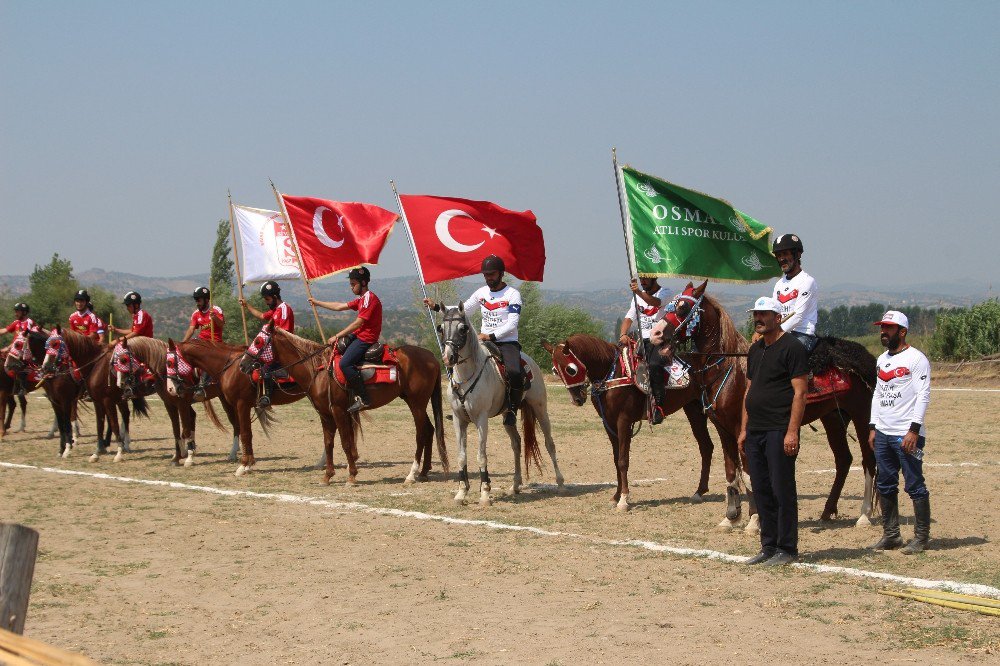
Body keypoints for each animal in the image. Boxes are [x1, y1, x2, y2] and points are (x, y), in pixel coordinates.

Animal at [236, 320, 448, 486]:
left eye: (258, 341)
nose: (243, 365)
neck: (317, 369)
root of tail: (431, 357)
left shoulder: (339, 411)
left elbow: (346, 442)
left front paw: (352, 476)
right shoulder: (325, 414)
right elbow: (329, 443)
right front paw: (327, 476)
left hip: (416, 403)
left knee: (421, 433)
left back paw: (411, 474)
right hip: (418, 403)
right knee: (430, 430)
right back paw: (424, 472)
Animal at [438, 304, 564, 506]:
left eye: (463, 329)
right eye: (441, 328)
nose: (448, 357)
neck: (466, 376)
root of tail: (529, 361)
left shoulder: (481, 420)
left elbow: (481, 456)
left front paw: (485, 494)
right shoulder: (459, 420)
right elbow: (461, 456)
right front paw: (461, 493)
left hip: (540, 408)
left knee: (549, 443)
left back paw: (560, 483)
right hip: (508, 415)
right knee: (517, 444)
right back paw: (516, 485)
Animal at [544, 332, 740, 512]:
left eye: (571, 369)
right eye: (555, 370)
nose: (577, 399)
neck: (612, 372)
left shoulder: (623, 421)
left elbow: (623, 460)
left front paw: (623, 499)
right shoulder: (608, 423)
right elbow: (616, 459)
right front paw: (616, 496)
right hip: (693, 410)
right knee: (706, 447)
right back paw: (699, 492)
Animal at [648, 280, 876, 528]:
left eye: (682, 308)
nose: (656, 333)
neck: (730, 370)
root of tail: (867, 358)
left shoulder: (743, 429)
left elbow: (749, 472)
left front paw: (754, 519)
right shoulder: (723, 428)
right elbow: (731, 470)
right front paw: (731, 517)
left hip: (863, 416)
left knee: (868, 461)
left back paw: (864, 515)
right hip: (833, 417)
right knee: (844, 459)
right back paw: (827, 511)